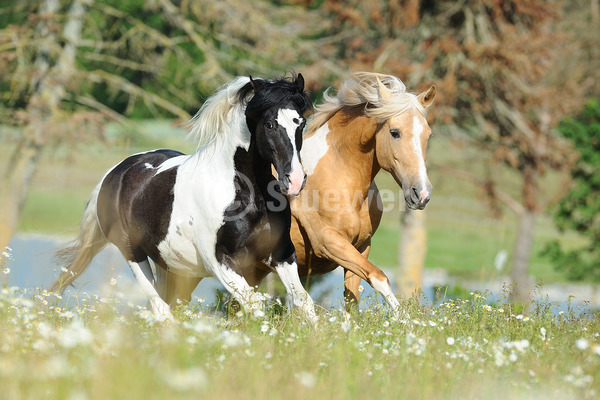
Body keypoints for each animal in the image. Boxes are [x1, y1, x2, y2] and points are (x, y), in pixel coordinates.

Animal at [50, 75, 318, 324]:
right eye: (270, 124)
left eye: (301, 122)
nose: (295, 179)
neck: (246, 195)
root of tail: (115, 172)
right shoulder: (222, 263)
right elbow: (255, 307)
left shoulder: (281, 253)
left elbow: (303, 302)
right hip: (132, 252)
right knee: (161, 309)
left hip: (175, 268)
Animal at [244, 72, 436, 318]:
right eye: (395, 133)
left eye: (427, 134)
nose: (421, 194)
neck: (339, 176)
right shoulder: (329, 242)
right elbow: (380, 278)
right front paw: (404, 320)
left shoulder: (361, 248)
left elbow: (352, 300)